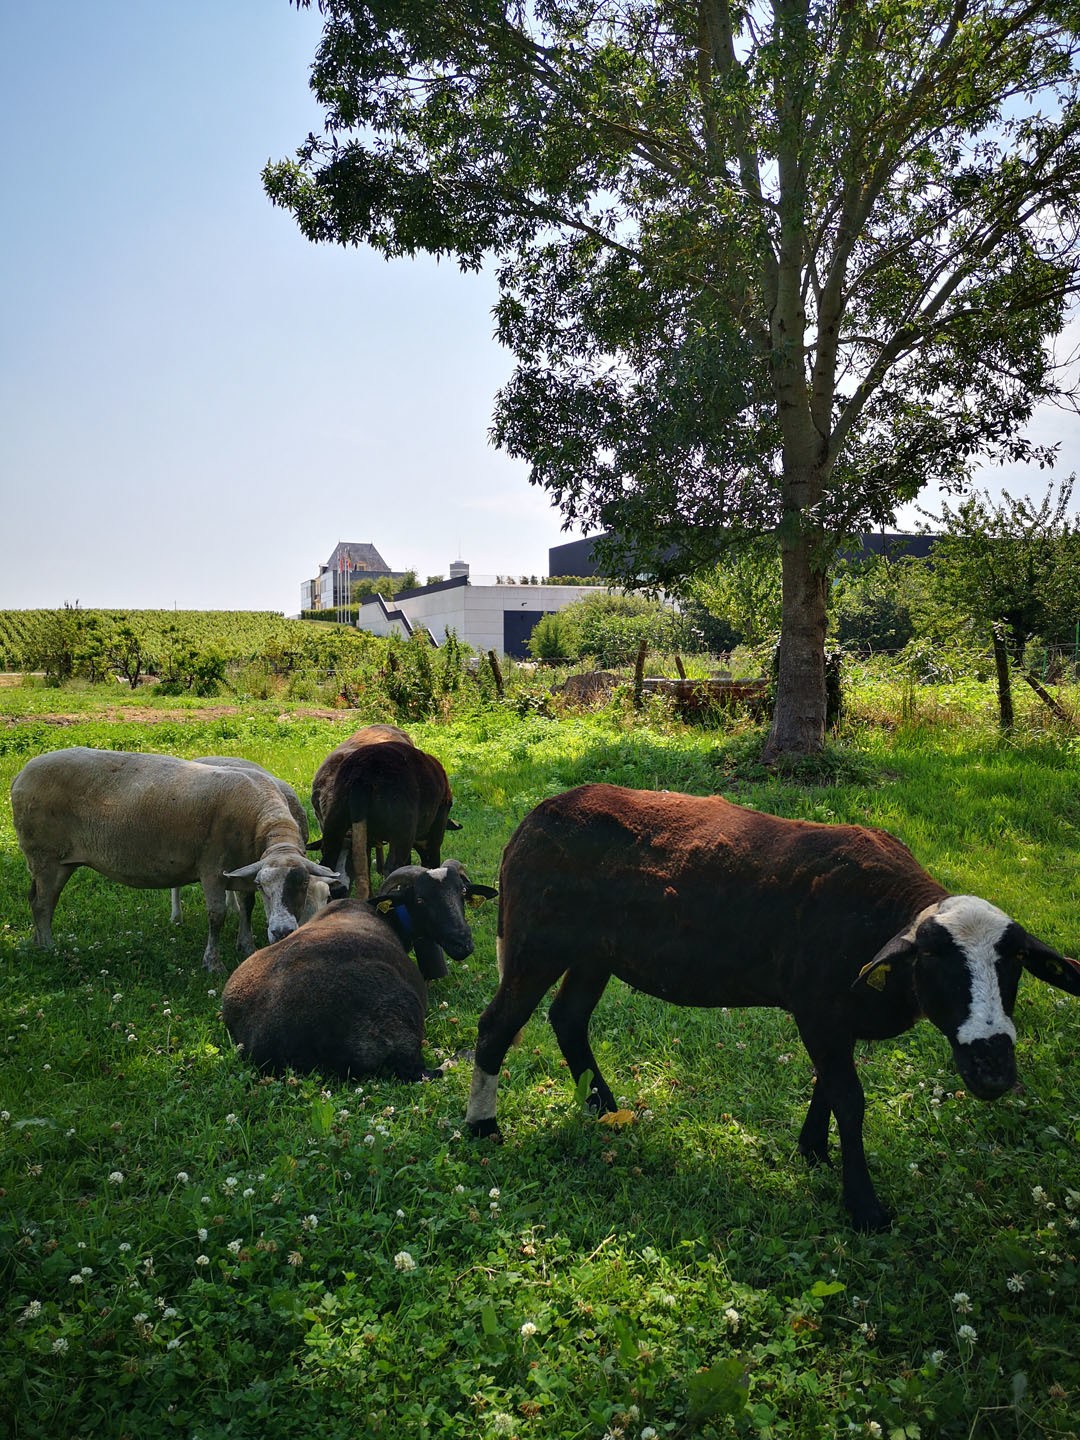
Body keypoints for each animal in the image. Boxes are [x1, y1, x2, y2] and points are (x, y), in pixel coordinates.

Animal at [11, 748, 338, 973]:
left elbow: (245, 907)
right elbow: (217, 915)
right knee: (42, 904)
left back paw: (38, 944)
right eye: (266, 887)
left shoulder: (244, 869)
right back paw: (49, 948)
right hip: (45, 856)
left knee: (36, 900)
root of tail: (19, 776)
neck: (263, 821)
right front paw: (213, 963)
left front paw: (246, 946)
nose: (282, 933)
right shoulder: (213, 868)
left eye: (302, 884)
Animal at [466, 783, 1080, 1232]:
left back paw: (604, 1108)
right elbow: (850, 1100)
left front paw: (813, 1153)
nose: (993, 1071)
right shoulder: (818, 1006)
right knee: (497, 1024)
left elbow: (827, 1088)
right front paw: (864, 1207)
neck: (884, 919)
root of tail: (531, 821)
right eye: (935, 962)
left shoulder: (835, 1013)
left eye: (1014, 966)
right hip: (537, 941)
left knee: (567, 1018)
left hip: (595, 951)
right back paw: (483, 1127)